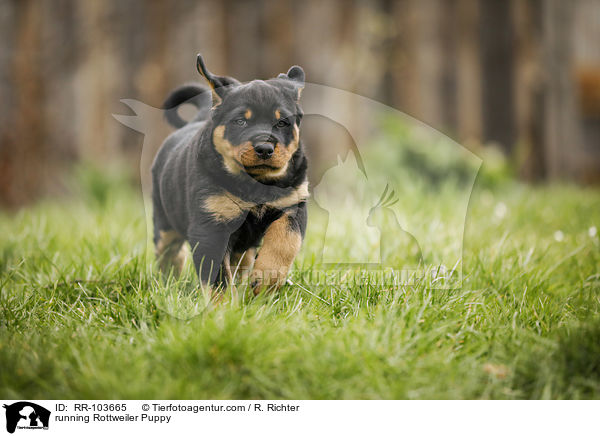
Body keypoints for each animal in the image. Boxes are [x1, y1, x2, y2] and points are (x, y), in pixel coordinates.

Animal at [150, 54, 310, 292]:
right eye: (240, 121)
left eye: (282, 123)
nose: (265, 148)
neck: (256, 183)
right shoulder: (211, 226)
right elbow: (218, 279)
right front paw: (224, 303)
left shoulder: (293, 206)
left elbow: (285, 241)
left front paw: (265, 279)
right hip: (165, 223)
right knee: (169, 255)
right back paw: (169, 286)